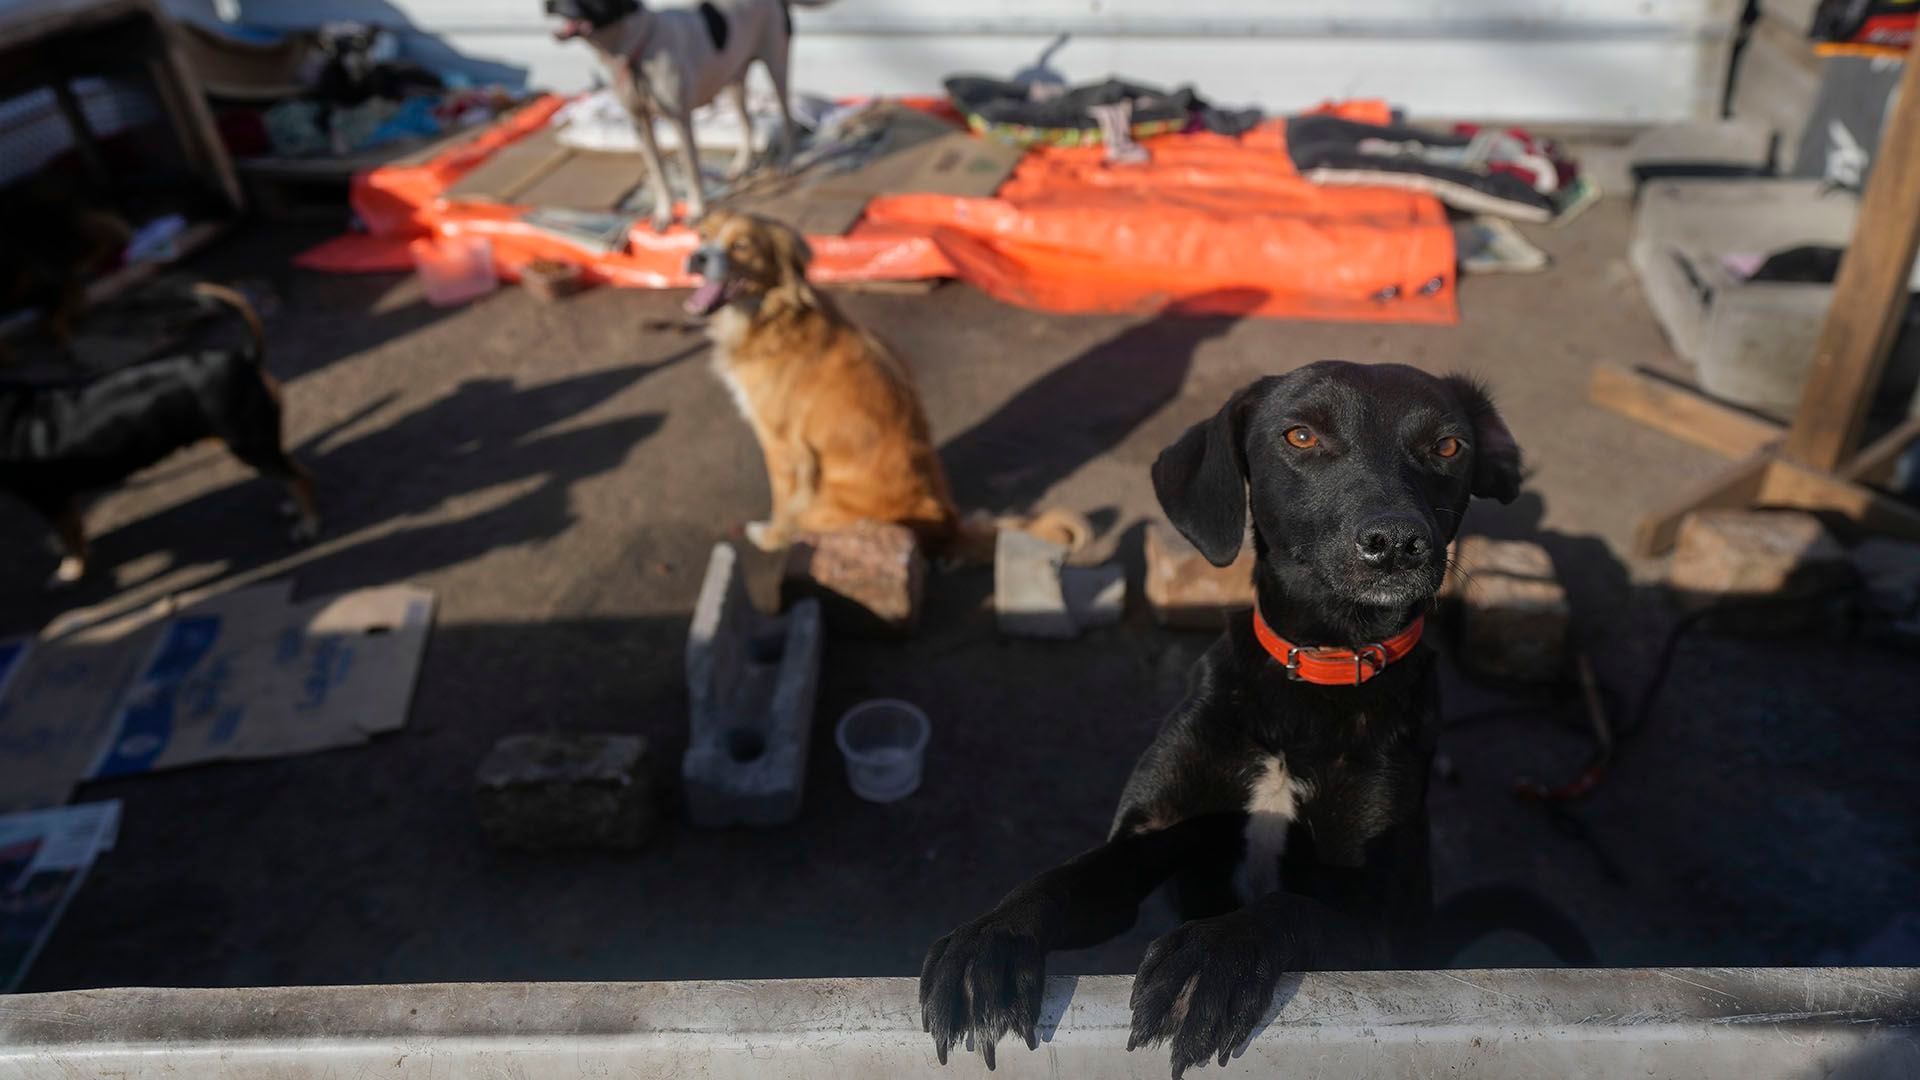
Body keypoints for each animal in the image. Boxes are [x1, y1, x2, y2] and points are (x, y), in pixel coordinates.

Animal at [0, 282, 318, 584]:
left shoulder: (48, 497)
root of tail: (244, 357)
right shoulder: (60, 498)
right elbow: (75, 530)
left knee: (300, 476)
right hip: (259, 441)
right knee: (291, 469)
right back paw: (294, 507)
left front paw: (72, 570)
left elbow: (70, 537)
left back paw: (308, 524)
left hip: (249, 443)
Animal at [549, 0, 833, 228]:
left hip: (776, 66)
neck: (639, 48)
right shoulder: (640, 124)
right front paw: (664, 213)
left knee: (787, 117)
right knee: (747, 122)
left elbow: (691, 172)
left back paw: (787, 162)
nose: (549, 4)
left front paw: (696, 211)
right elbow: (658, 173)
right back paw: (740, 164)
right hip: (733, 77)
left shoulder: (680, 121)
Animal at [687, 212, 1082, 564]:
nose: (696, 257)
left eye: (741, 245)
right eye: (703, 235)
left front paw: (770, 538)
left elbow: (782, 502)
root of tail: (951, 527)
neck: (775, 318)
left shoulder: (781, 445)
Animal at [925, 363, 1574, 1076]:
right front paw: (991, 940)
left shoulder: (1376, 930)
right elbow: (1058, 879)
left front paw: (1213, 956)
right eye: (1301, 435)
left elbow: (1287, 905)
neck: (1315, 671)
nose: (1397, 543)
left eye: (1449, 446)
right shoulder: (1147, 839)